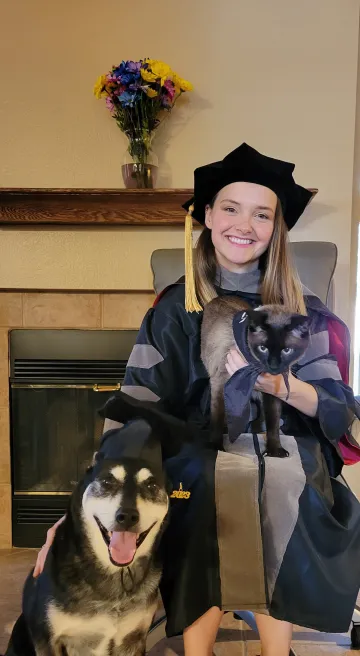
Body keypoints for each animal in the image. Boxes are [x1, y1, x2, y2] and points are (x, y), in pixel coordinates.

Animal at [201, 298, 310, 456]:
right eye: (263, 348)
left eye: (287, 350)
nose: (274, 366)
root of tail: (219, 298)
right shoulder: (220, 385)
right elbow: (217, 418)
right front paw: (216, 447)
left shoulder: (272, 394)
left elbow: (273, 422)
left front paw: (275, 451)